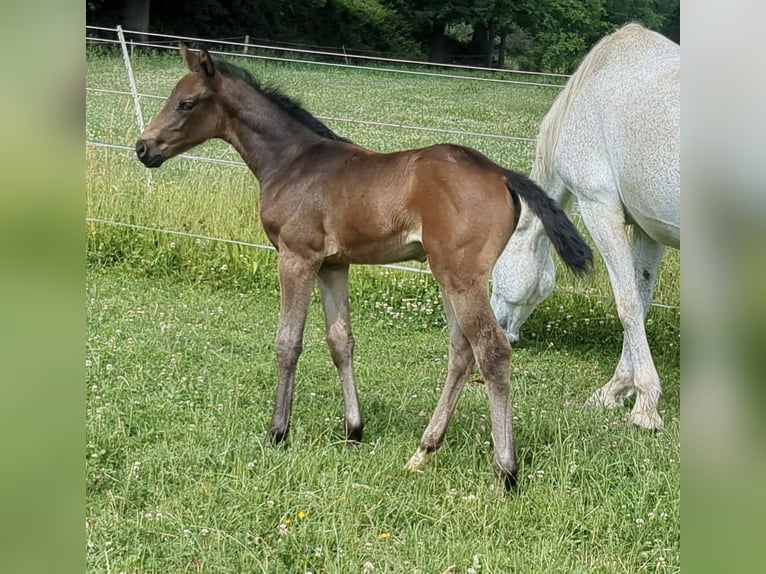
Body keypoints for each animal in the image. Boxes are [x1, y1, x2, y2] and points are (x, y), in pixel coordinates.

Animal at [135, 44, 593, 489]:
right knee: (462, 351)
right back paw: (423, 451)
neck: (292, 163)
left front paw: (278, 432)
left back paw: (505, 471)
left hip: (462, 278)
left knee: (491, 351)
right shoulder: (333, 266)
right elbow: (341, 341)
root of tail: (501, 174)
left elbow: (288, 342)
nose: (143, 147)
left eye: (186, 103)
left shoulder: (296, 257)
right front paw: (353, 430)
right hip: (449, 276)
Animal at [490, 23, 680, 430]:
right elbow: (641, 300)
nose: (502, 331)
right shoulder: (648, 229)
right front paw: (615, 390)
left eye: (494, 272)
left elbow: (626, 304)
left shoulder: (599, 208)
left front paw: (645, 405)